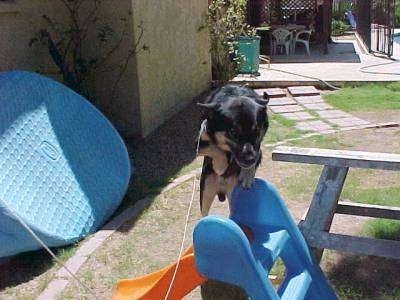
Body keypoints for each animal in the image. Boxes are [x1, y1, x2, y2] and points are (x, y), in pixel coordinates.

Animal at [197, 84, 268, 216]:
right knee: (204, 215)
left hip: (232, 194)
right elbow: (215, 149)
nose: (249, 159)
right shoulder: (202, 140)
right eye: (233, 132)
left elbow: (257, 152)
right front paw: (220, 165)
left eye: (256, 132)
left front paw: (247, 174)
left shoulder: (259, 144)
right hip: (206, 191)